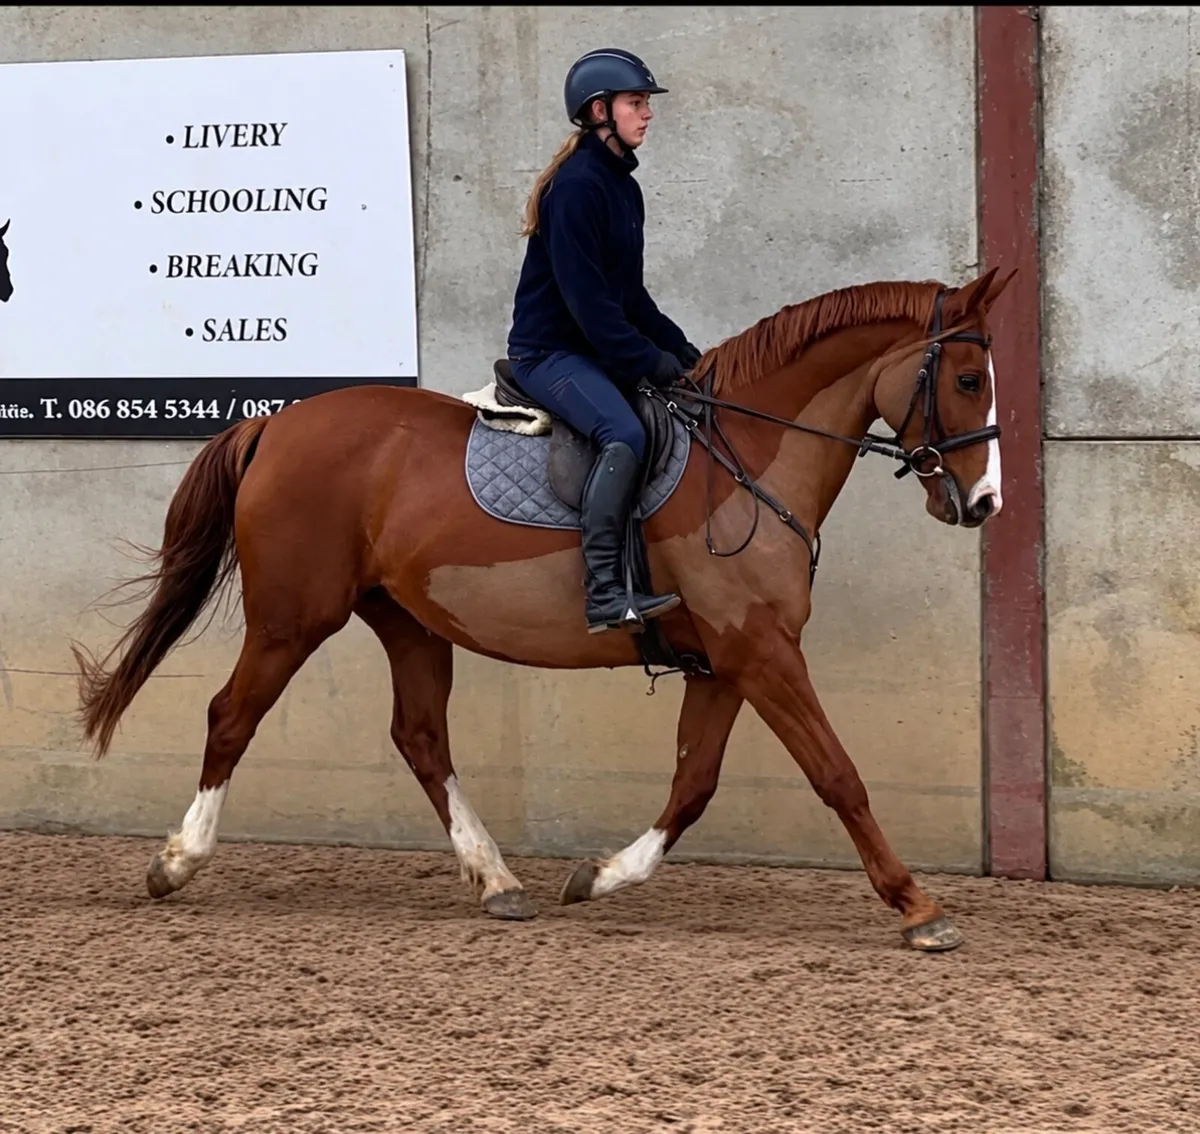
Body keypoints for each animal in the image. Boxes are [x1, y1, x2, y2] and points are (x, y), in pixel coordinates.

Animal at [71, 265, 1015, 953]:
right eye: (969, 377)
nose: (984, 506)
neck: (745, 459)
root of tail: (276, 423)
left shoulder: (726, 661)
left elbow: (693, 785)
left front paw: (599, 876)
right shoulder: (761, 651)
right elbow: (838, 775)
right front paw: (918, 906)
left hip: (407, 620)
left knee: (421, 737)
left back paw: (497, 881)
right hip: (292, 618)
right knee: (232, 715)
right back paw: (177, 862)